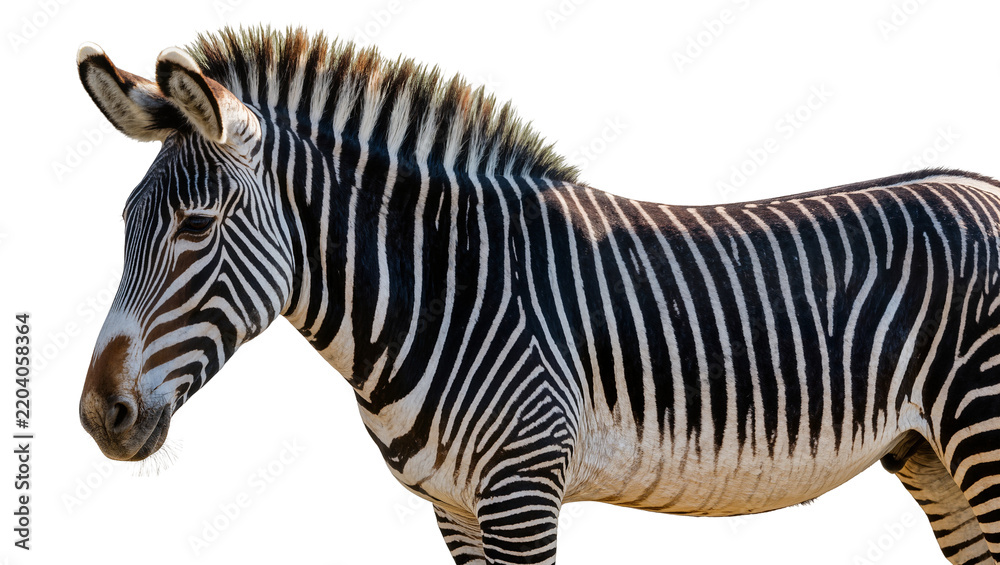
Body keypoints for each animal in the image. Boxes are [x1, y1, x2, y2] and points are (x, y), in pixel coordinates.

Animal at [76, 26, 1000, 564]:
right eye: (122, 223)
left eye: (196, 227)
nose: (97, 416)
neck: (447, 286)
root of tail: (982, 186)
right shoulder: (456, 509)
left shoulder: (521, 490)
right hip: (930, 452)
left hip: (981, 432)